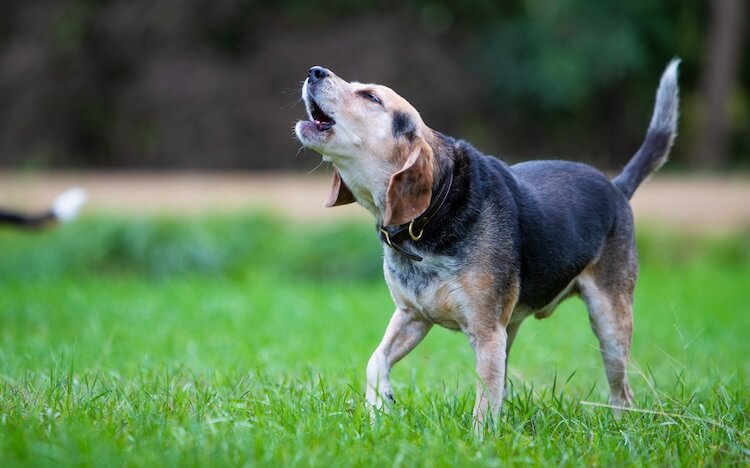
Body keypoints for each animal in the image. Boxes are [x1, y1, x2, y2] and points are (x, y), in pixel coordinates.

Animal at [296, 60, 680, 430]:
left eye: (371, 97)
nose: (314, 71)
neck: (432, 212)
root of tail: (617, 186)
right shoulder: (411, 316)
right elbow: (375, 362)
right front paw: (379, 408)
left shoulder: (486, 335)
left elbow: (484, 406)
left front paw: (479, 443)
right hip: (512, 330)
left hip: (609, 323)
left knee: (623, 393)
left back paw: (621, 427)